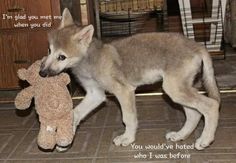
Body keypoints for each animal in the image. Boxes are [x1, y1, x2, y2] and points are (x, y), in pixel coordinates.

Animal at [40, 8, 219, 150]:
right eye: (49, 50)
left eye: (62, 57)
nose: (42, 73)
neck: (92, 59)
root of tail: (196, 46)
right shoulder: (95, 95)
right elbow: (75, 113)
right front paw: (66, 139)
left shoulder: (124, 91)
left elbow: (128, 118)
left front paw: (127, 138)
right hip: (178, 91)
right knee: (195, 114)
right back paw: (180, 135)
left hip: (175, 90)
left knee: (211, 106)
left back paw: (205, 140)